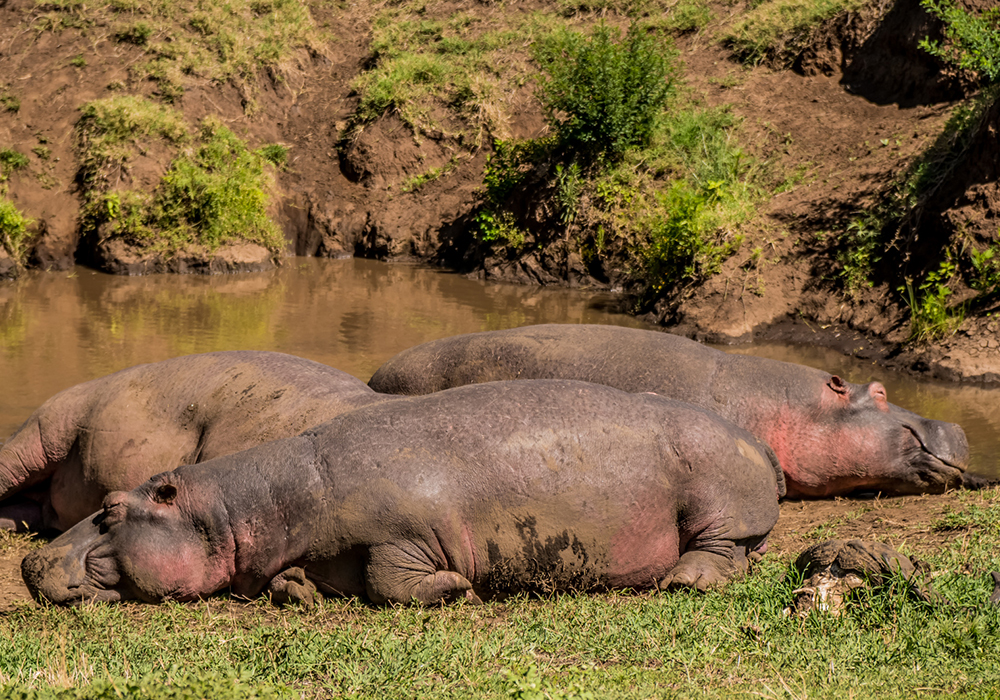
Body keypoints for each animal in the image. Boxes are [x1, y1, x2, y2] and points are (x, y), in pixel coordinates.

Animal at [17, 380, 780, 604]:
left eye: (110, 510)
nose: (27, 561)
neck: (243, 509)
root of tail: (756, 440)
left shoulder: (404, 532)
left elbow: (390, 580)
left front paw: (456, 589)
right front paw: (296, 590)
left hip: (716, 499)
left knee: (723, 550)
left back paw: (681, 581)